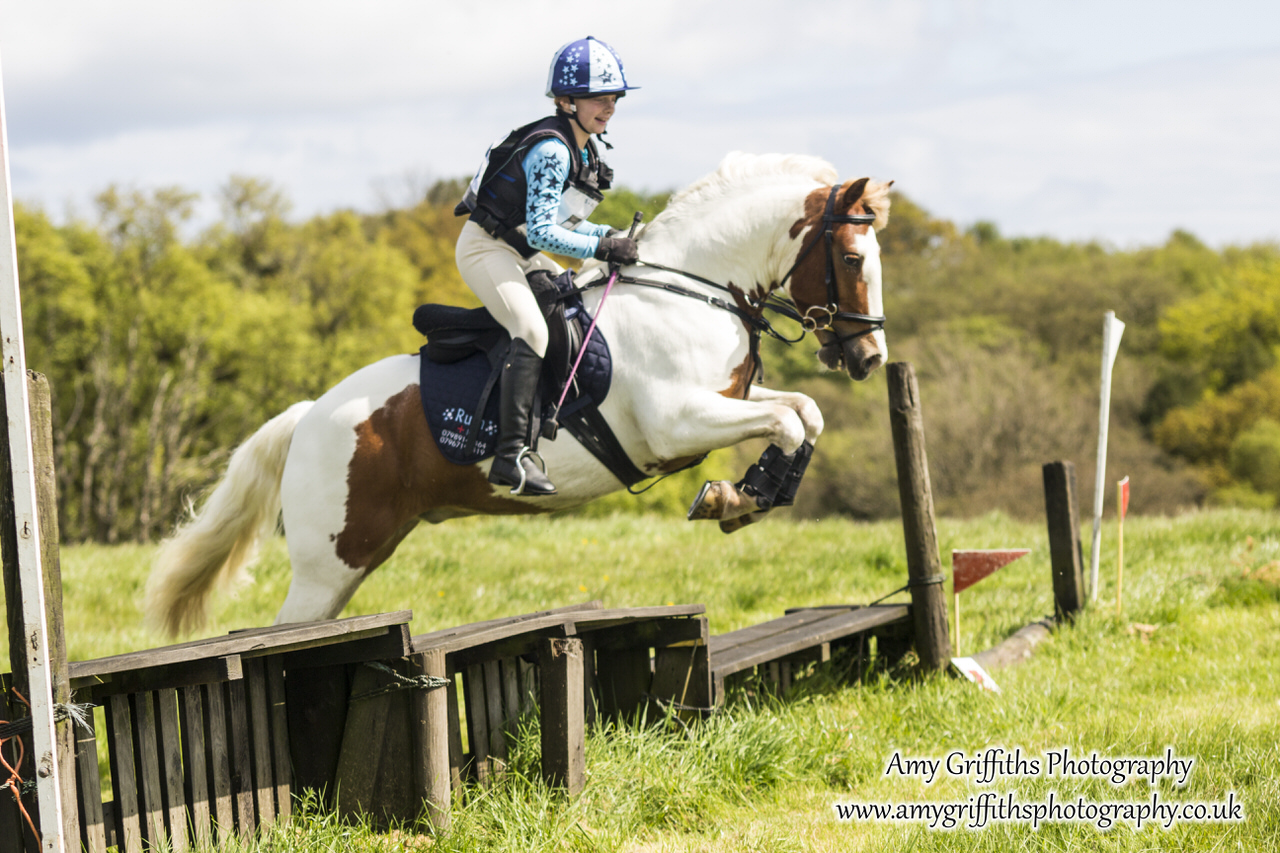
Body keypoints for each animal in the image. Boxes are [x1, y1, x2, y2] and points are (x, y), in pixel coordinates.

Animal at [145, 151, 896, 630]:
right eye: (852, 258)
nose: (869, 356)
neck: (692, 287)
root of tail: (306, 418)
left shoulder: (725, 405)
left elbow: (805, 414)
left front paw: (746, 494)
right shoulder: (677, 423)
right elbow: (794, 422)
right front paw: (736, 498)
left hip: (354, 558)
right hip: (329, 560)